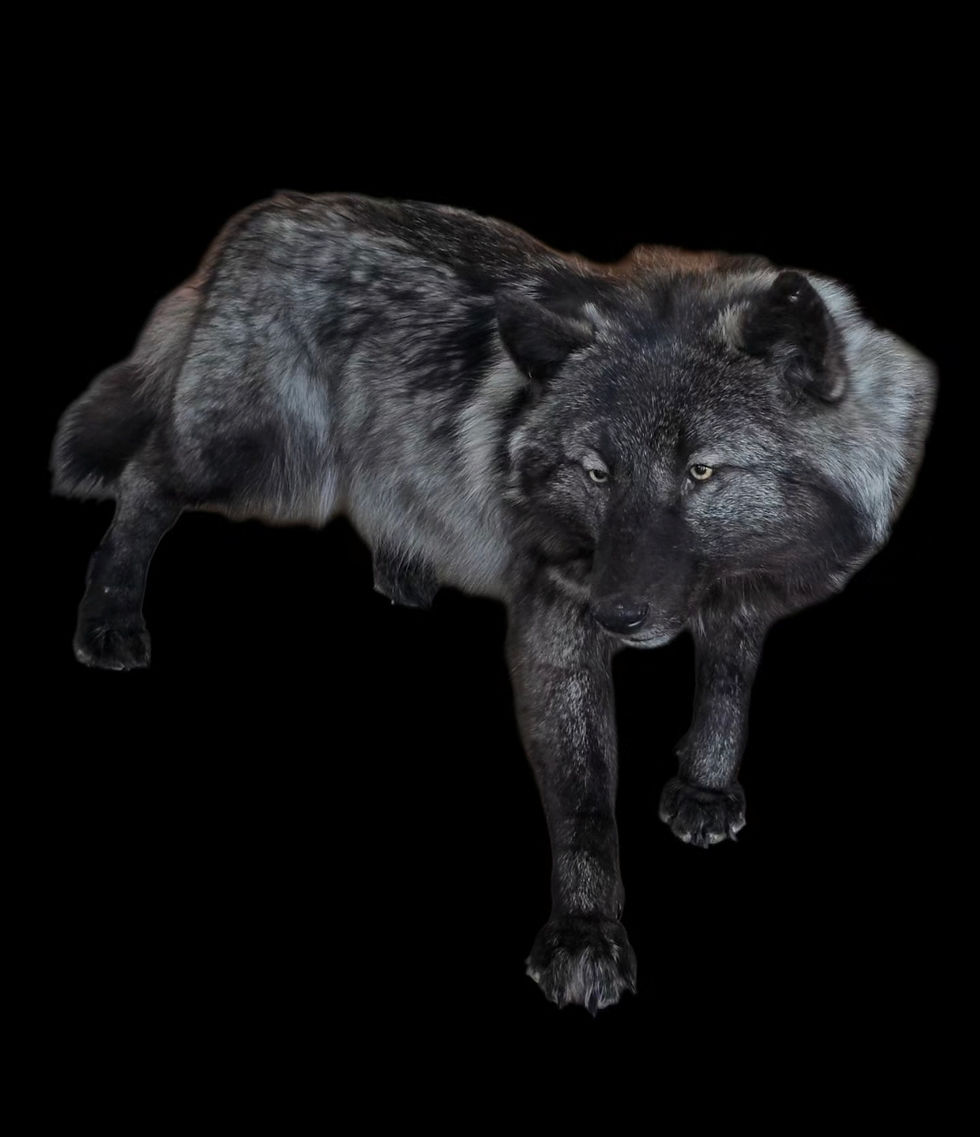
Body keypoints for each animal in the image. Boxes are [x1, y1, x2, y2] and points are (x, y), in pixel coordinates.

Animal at [51, 192, 936, 1013]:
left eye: (702, 471)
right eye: (596, 471)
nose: (618, 615)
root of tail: (261, 215)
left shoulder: (741, 602)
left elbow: (727, 694)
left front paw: (706, 790)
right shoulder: (556, 627)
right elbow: (586, 800)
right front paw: (585, 938)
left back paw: (406, 576)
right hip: (263, 463)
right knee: (146, 478)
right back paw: (110, 621)